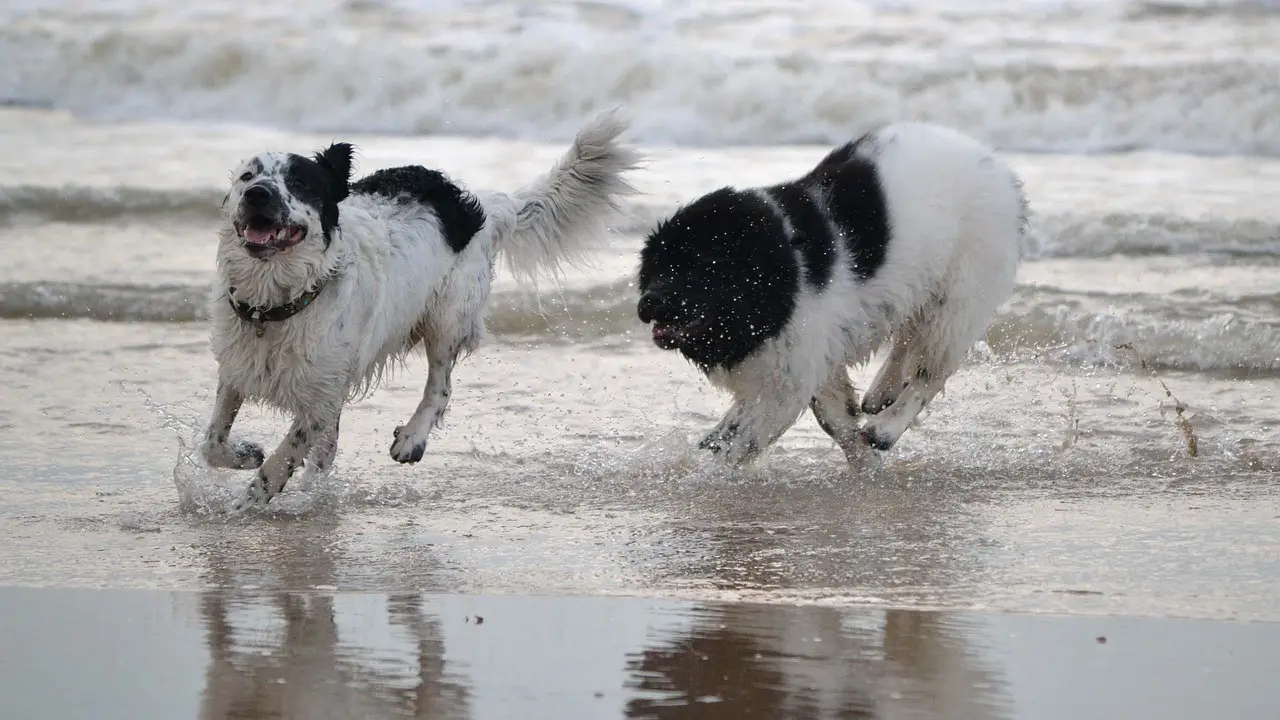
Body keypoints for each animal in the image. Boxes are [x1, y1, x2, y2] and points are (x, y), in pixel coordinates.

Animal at [199, 109, 640, 507]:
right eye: (248, 177)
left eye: (299, 182)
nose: (258, 194)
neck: (276, 301)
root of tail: (475, 205)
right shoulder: (240, 369)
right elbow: (212, 442)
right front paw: (245, 455)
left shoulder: (320, 396)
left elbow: (285, 453)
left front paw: (250, 499)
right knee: (329, 449)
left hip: (447, 318)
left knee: (440, 387)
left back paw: (411, 438)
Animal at [640, 120, 1029, 461]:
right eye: (656, 267)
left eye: (696, 267)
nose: (647, 302)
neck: (781, 265)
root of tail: (1002, 172)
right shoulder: (808, 356)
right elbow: (831, 417)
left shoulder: (794, 367)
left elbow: (751, 437)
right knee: (907, 338)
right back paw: (881, 391)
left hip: (959, 296)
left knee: (931, 371)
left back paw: (886, 428)